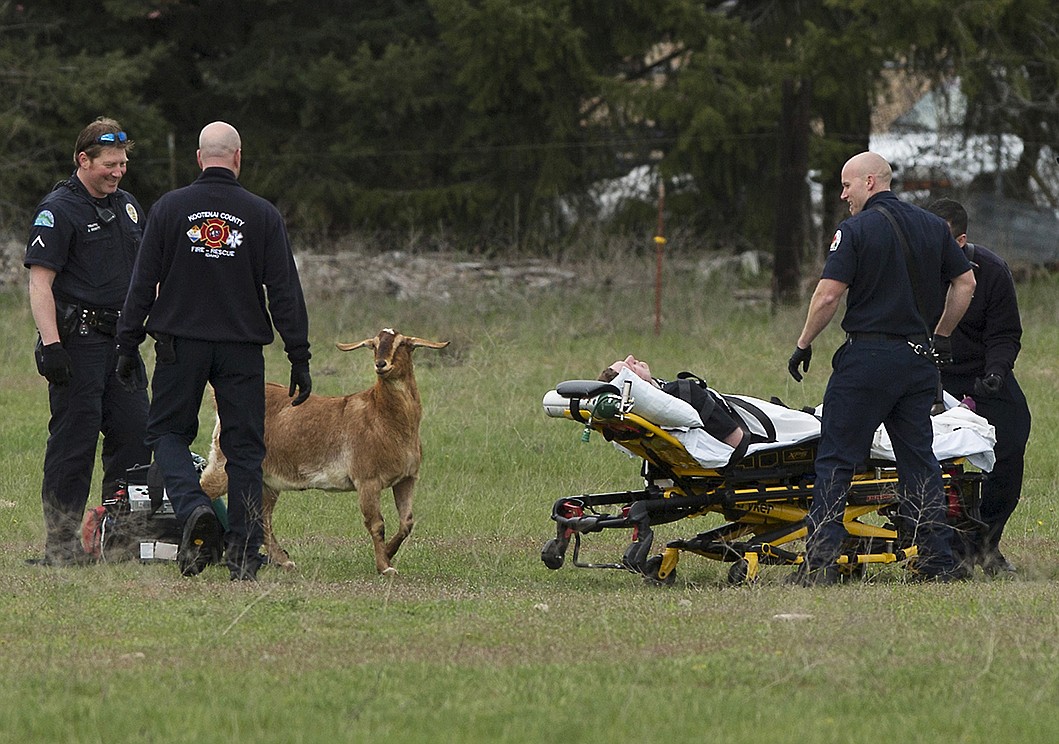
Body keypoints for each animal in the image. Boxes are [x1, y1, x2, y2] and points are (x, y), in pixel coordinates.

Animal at [200, 330, 449, 575]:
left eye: (403, 343)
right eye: (374, 345)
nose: (381, 364)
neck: (383, 416)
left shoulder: (407, 478)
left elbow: (407, 522)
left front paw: (388, 553)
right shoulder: (367, 480)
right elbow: (376, 524)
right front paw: (385, 566)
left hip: (267, 481)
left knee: (261, 518)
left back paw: (284, 561)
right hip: (225, 466)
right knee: (205, 488)